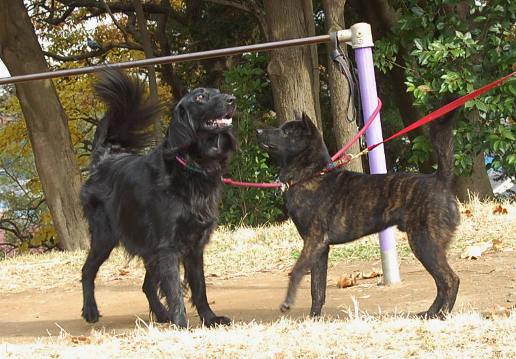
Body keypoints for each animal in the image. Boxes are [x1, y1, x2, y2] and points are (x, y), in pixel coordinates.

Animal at [79, 68, 237, 330]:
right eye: (200, 97)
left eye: (217, 91)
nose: (231, 99)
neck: (192, 166)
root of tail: (105, 158)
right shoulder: (168, 246)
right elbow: (175, 289)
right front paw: (181, 324)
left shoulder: (194, 245)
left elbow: (199, 287)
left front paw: (210, 318)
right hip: (105, 236)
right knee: (87, 270)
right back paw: (90, 310)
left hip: (147, 247)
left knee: (146, 285)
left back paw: (162, 314)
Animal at [256, 111, 460, 320]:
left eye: (286, 131)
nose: (258, 131)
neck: (311, 175)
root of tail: (440, 180)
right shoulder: (321, 249)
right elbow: (317, 288)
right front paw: (314, 317)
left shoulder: (314, 241)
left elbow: (296, 272)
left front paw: (288, 303)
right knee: (442, 283)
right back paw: (431, 313)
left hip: (425, 244)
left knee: (450, 280)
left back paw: (443, 314)